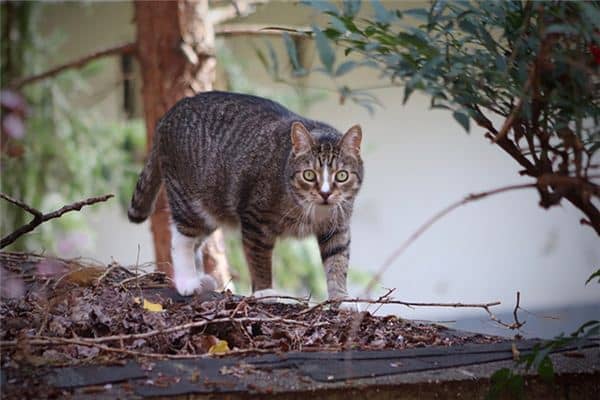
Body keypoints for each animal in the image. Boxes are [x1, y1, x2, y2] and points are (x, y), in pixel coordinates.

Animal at [129, 92, 364, 302]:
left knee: (196, 240)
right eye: (309, 175)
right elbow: (259, 260)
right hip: (188, 200)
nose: (325, 193)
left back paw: (201, 280)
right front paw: (265, 291)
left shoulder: (338, 227)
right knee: (182, 239)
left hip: (210, 209)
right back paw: (187, 281)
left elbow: (337, 262)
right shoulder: (255, 220)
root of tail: (169, 114)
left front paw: (341, 299)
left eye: (341, 176)